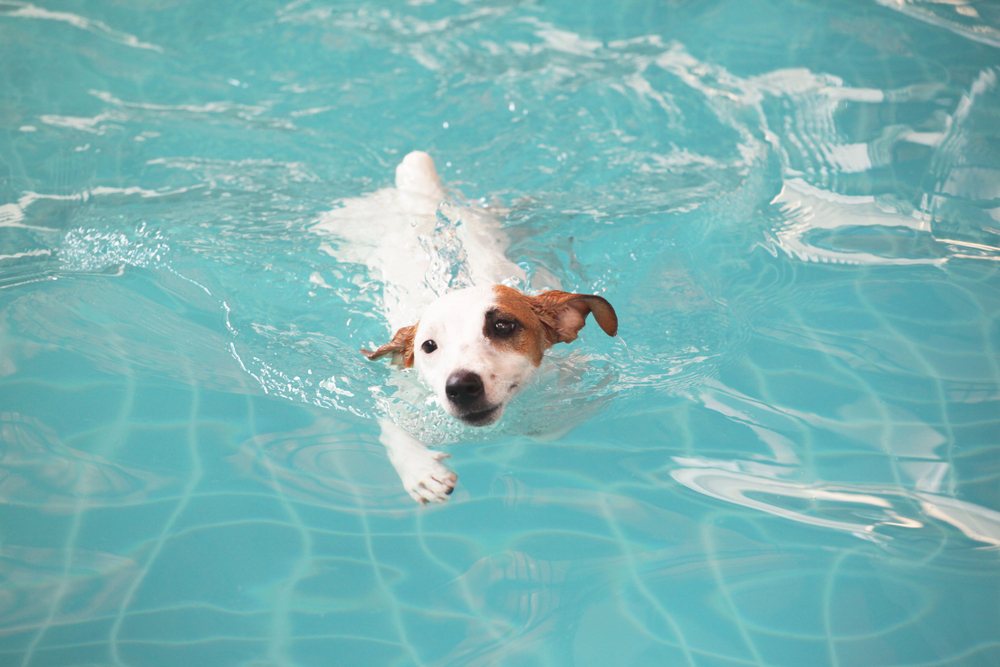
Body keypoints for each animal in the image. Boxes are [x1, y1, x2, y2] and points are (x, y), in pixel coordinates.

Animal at [316, 153, 620, 506]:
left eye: (503, 325)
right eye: (428, 346)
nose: (461, 386)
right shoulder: (400, 396)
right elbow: (390, 425)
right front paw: (420, 469)